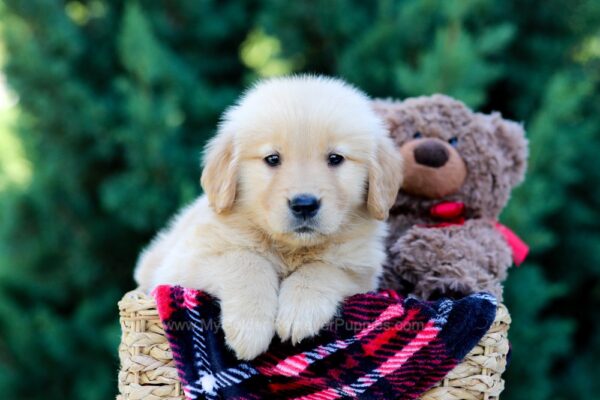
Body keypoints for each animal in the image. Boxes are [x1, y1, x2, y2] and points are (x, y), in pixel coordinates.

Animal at [136, 75, 404, 360]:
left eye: (335, 158)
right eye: (272, 159)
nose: (304, 204)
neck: (290, 248)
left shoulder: (362, 272)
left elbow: (323, 268)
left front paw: (299, 312)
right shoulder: (183, 265)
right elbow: (246, 260)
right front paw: (249, 328)